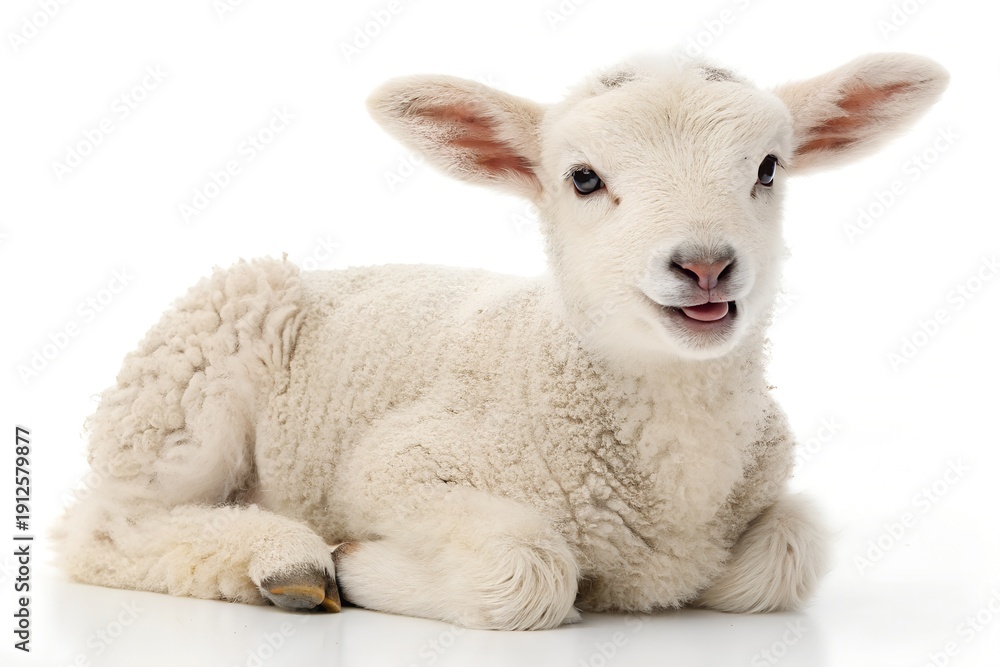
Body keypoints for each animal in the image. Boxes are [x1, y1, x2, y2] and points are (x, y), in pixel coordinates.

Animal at [54, 52, 948, 631]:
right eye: (583, 178)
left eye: (768, 168)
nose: (704, 264)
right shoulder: (394, 465)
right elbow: (529, 569)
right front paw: (358, 565)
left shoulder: (771, 485)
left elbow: (790, 553)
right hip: (188, 387)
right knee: (101, 527)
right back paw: (285, 561)